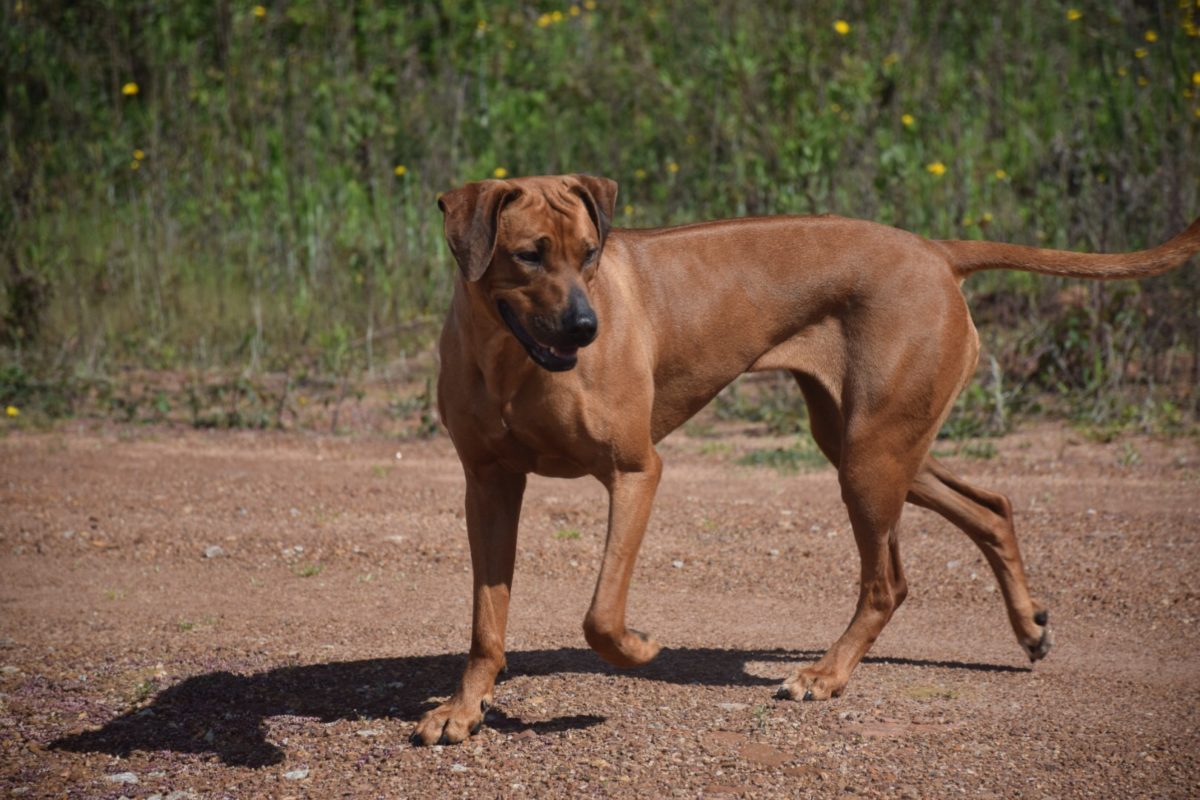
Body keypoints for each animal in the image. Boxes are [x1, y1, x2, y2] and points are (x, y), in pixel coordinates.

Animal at [410, 173, 1190, 743]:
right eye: (530, 254)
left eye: (590, 253)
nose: (586, 326)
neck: (507, 357)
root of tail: (935, 250)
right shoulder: (488, 484)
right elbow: (485, 621)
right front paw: (464, 709)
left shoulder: (636, 471)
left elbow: (601, 615)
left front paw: (640, 648)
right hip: (869, 441)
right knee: (990, 507)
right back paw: (1028, 628)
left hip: (871, 455)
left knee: (888, 581)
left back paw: (827, 674)